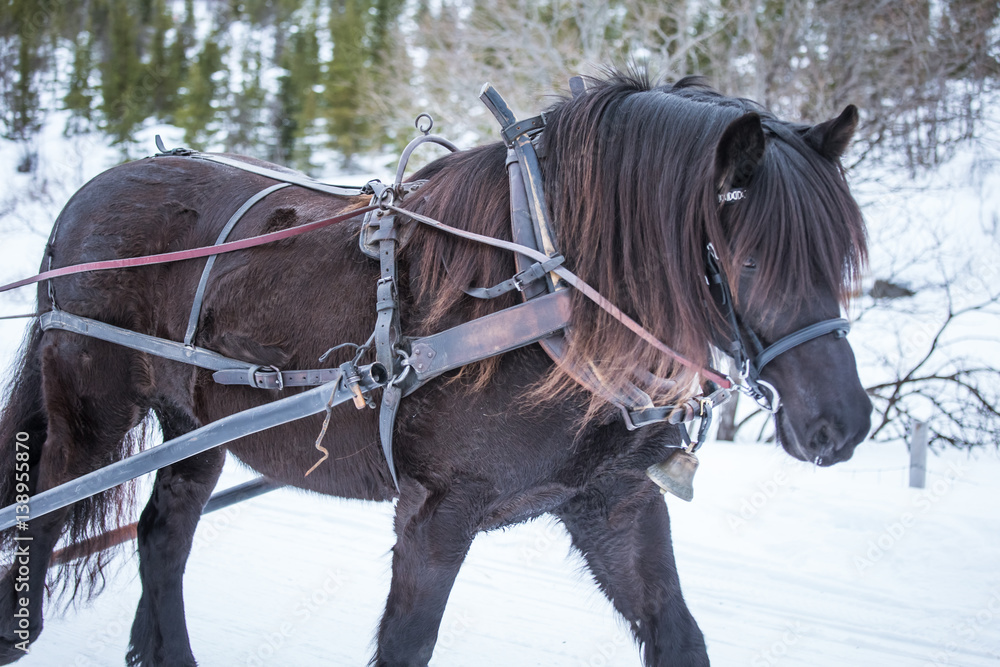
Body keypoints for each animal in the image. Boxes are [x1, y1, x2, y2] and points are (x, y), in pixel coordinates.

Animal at [0, 70, 868, 664]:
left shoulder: (613, 499)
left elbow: (678, 634)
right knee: (41, 520)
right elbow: (407, 643)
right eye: (749, 260)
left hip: (195, 428)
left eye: (840, 257)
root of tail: (84, 197)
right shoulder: (435, 511)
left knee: (162, 537)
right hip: (91, 414)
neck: (543, 294)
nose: (845, 424)